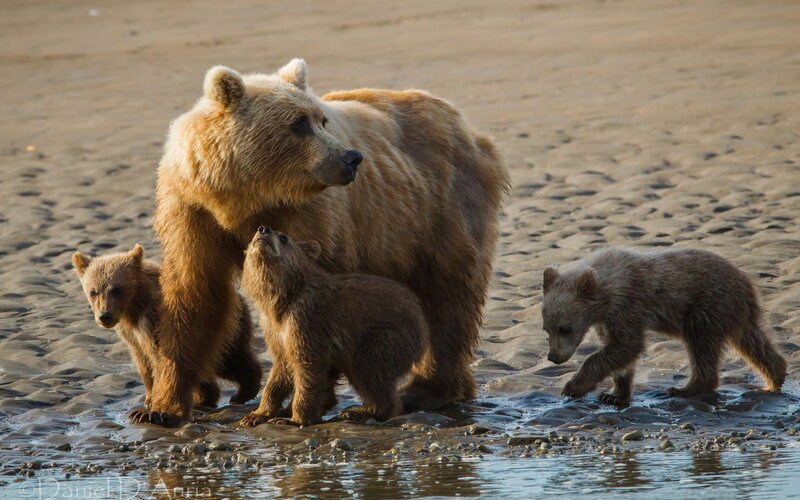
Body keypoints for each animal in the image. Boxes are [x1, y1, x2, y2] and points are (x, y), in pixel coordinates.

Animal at [72, 244, 262, 423]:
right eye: (93, 292)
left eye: (116, 289)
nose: (104, 316)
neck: (133, 308)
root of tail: (238, 297)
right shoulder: (131, 334)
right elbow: (143, 362)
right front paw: (149, 399)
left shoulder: (155, 320)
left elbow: (161, 359)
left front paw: (148, 409)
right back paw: (206, 398)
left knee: (228, 360)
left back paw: (243, 391)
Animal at [238, 226, 429, 427]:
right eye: (255, 233)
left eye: (284, 237)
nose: (264, 229)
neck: (281, 298)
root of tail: (420, 313)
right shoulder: (274, 330)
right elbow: (280, 369)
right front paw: (256, 414)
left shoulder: (306, 321)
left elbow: (308, 367)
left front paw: (293, 419)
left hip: (386, 336)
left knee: (370, 371)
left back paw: (359, 411)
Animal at [541, 247, 787, 406]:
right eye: (547, 329)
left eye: (565, 328)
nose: (553, 357)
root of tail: (748, 285)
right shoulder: (608, 319)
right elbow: (620, 350)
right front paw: (614, 394)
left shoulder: (627, 305)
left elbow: (626, 345)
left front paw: (573, 386)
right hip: (731, 313)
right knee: (753, 342)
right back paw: (775, 378)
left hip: (706, 307)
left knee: (701, 347)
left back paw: (685, 389)